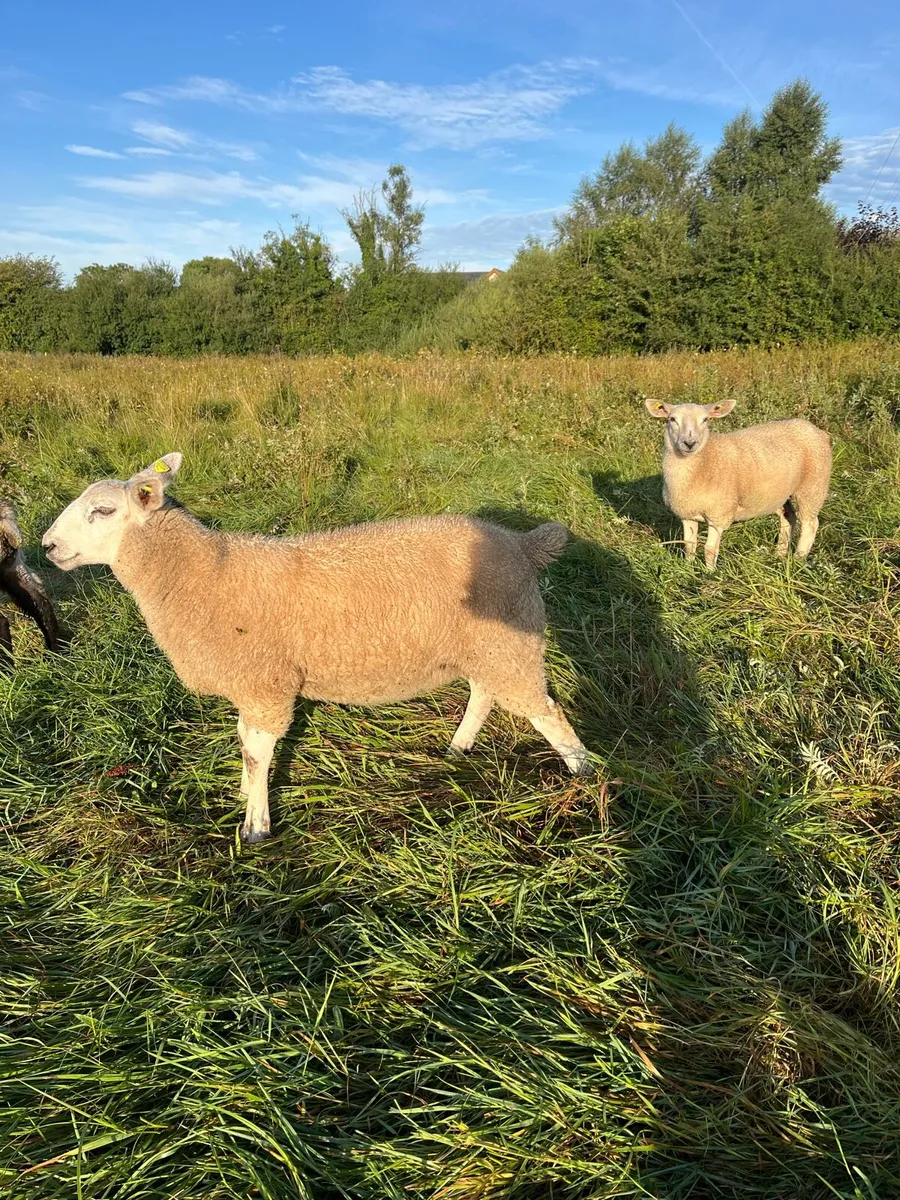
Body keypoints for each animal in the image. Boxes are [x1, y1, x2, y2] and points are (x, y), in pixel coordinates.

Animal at [42, 454, 593, 842]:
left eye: (102, 511)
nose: (46, 547)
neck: (204, 576)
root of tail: (523, 544)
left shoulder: (266, 682)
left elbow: (257, 751)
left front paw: (255, 826)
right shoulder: (252, 683)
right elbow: (244, 743)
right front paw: (246, 792)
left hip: (511, 640)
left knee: (546, 712)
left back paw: (585, 775)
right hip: (487, 644)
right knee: (484, 693)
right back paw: (460, 746)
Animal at [644, 398, 832, 570]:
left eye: (705, 419)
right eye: (672, 419)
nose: (689, 443)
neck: (705, 460)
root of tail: (816, 429)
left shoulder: (719, 515)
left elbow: (709, 549)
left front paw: (709, 574)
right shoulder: (687, 513)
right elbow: (689, 545)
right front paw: (689, 568)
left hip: (813, 486)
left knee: (810, 524)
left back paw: (799, 559)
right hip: (779, 493)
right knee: (788, 517)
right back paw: (779, 555)